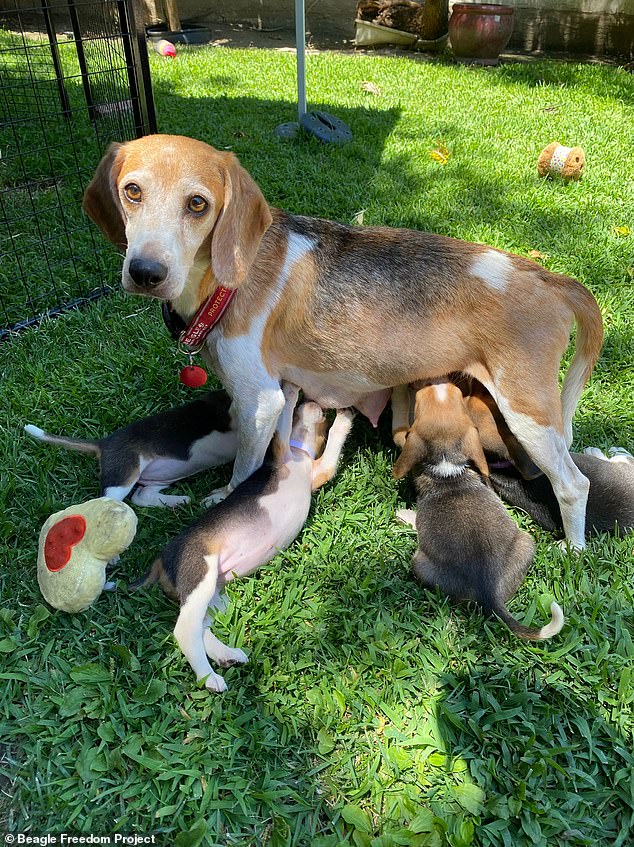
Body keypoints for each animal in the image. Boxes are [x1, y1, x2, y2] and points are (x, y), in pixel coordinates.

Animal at [84, 133, 604, 548]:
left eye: (198, 204)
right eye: (132, 191)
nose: (145, 273)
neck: (225, 281)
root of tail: (551, 279)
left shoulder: (259, 400)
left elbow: (244, 469)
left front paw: (228, 501)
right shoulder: (283, 392)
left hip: (528, 412)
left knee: (574, 485)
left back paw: (573, 549)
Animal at [396, 380, 564, 640]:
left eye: (420, 401)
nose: (439, 381)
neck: (448, 466)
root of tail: (489, 592)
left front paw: (404, 514)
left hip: (419, 563)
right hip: (526, 542)